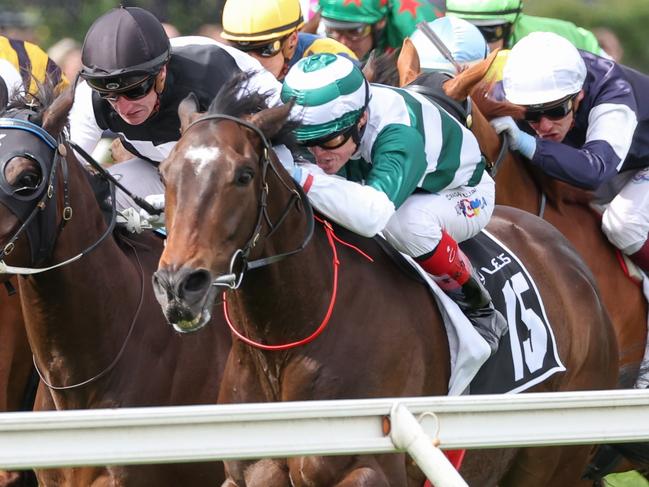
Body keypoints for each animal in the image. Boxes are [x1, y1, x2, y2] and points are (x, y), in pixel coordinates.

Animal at [152, 76, 616, 487]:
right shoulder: (249, 472)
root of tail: (568, 258)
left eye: (244, 174)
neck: (286, 340)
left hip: (553, 457)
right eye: (164, 173)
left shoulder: (370, 469)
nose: (179, 284)